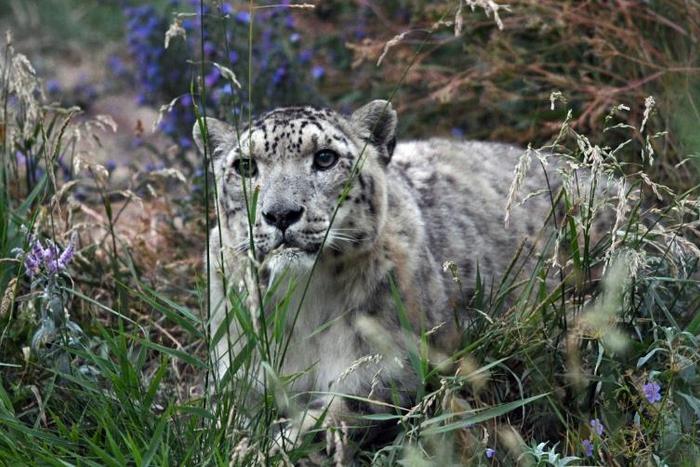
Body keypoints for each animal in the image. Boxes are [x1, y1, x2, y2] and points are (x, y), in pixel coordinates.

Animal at [192, 100, 599, 455]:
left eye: (325, 157)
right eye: (245, 166)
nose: (280, 214)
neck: (304, 305)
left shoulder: (392, 368)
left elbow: (334, 415)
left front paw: (270, 448)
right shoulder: (237, 371)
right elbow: (225, 417)